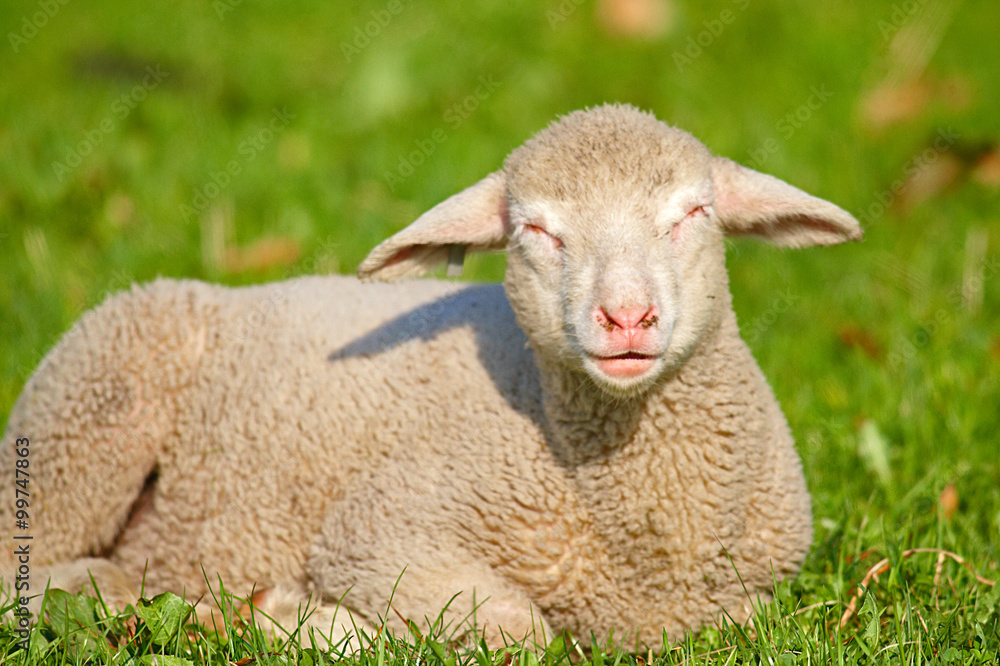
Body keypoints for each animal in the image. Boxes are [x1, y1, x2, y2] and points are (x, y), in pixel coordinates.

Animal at [0, 104, 861, 648]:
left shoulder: (749, 600)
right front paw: (308, 620)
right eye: (534, 231)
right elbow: (519, 631)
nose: (626, 317)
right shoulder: (380, 529)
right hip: (83, 425)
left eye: (693, 214)